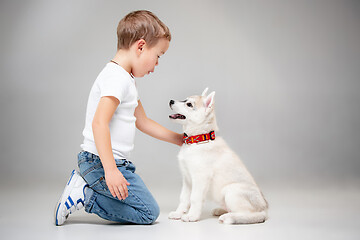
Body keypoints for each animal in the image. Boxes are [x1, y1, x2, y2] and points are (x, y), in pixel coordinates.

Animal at [168, 88, 268, 225]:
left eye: (189, 104)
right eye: (185, 99)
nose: (171, 101)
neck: (197, 140)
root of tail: (264, 209)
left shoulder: (200, 178)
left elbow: (194, 198)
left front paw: (192, 216)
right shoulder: (187, 179)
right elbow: (183, 198)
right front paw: (178, 213)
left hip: (231, 191)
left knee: (253, 215)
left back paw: (229, 217)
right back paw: (221, 211)